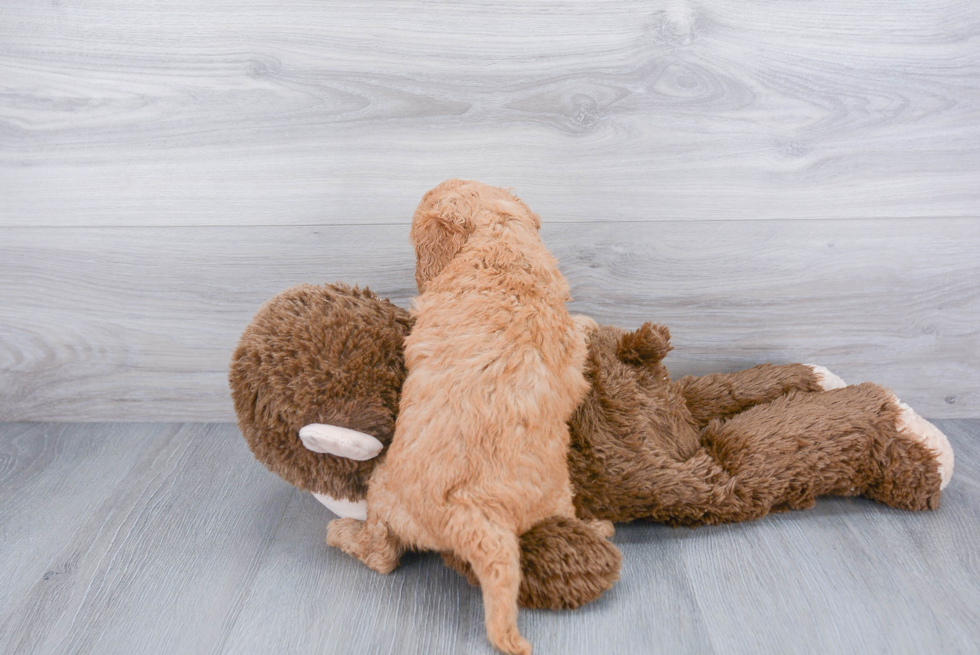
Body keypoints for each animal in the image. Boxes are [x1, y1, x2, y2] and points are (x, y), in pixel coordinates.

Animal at [328, 181, 596, 655]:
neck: (501, 242)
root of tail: (471, 514)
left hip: (382, 491)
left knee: (381, 555)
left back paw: (340, 533)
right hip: (554, 497)